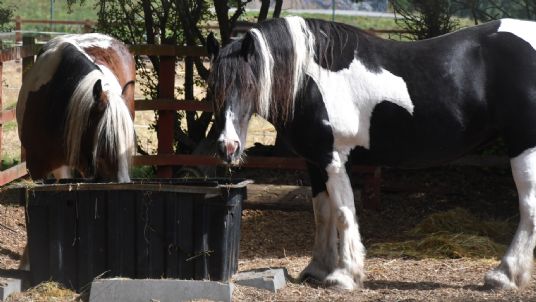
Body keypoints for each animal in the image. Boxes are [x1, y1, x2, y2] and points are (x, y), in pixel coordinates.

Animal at [208, 17, 536, 290]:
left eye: (249, 84)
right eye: (213, 88)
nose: (228, 147)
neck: (311, 80)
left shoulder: (335, 160)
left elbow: (343, 213)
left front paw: (344, 276)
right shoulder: (315, 162)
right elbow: (322, 212)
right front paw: (317, 269)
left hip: (524, 146)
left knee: (528, 208)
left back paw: (504, 276)